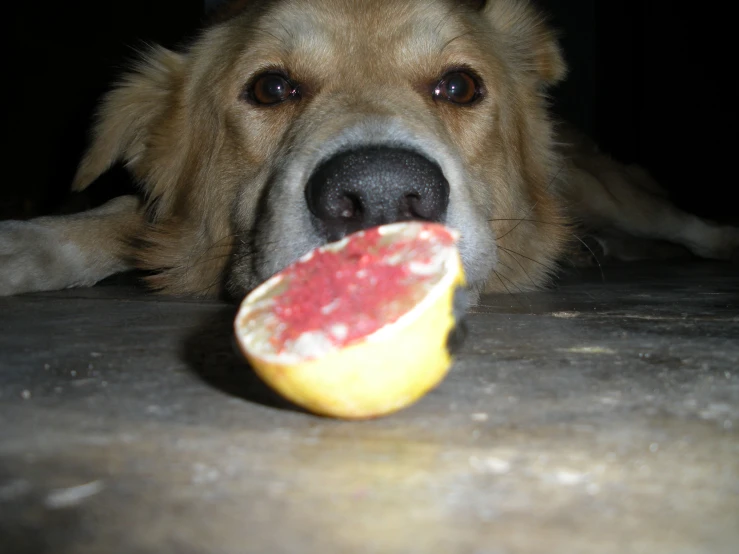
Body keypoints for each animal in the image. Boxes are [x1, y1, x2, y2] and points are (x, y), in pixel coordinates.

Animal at [1, 0, 739, 302]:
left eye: (459, 85)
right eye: (271, 87)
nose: (380, 194)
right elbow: (121, 214)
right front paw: (33, 244)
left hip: (618, 195)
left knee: (692, 227)